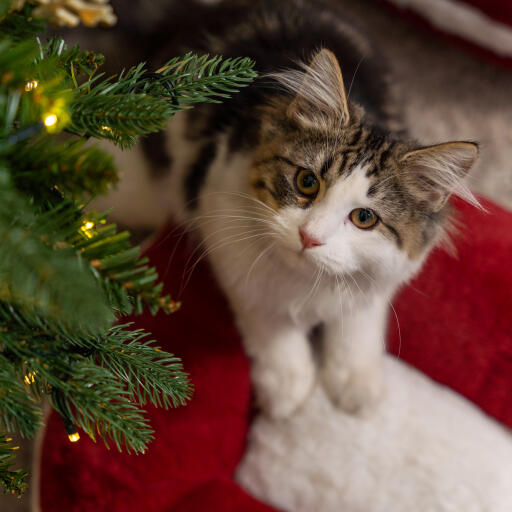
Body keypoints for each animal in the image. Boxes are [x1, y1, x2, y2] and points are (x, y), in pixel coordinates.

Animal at [149, 0, 480, 416]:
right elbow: (273, 330)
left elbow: (356, 329)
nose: (309, 237)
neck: (308, 284)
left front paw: (355, 386)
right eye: (307, 182)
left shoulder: (376, 285)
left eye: (365, 218)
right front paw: (288, 390)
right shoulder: (232, 253)